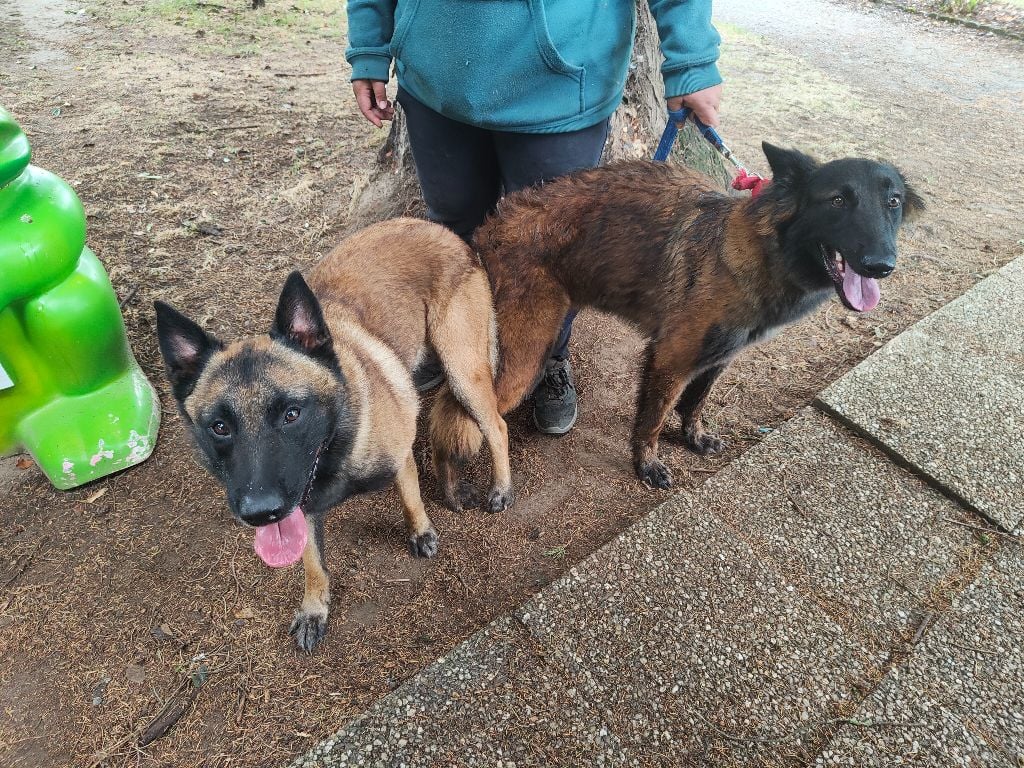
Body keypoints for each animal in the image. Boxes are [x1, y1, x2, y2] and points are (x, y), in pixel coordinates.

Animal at [428, 143, 925, 489]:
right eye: (837, 200)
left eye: (894, 202)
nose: (882, 264)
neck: (756, 250)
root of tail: (490, 226)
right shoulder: (669, 358)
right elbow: (652, 419)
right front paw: (647, 465)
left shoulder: (718, 357)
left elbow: (695, 403)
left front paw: (694, 438)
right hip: (524, 353)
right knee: (455, 410)